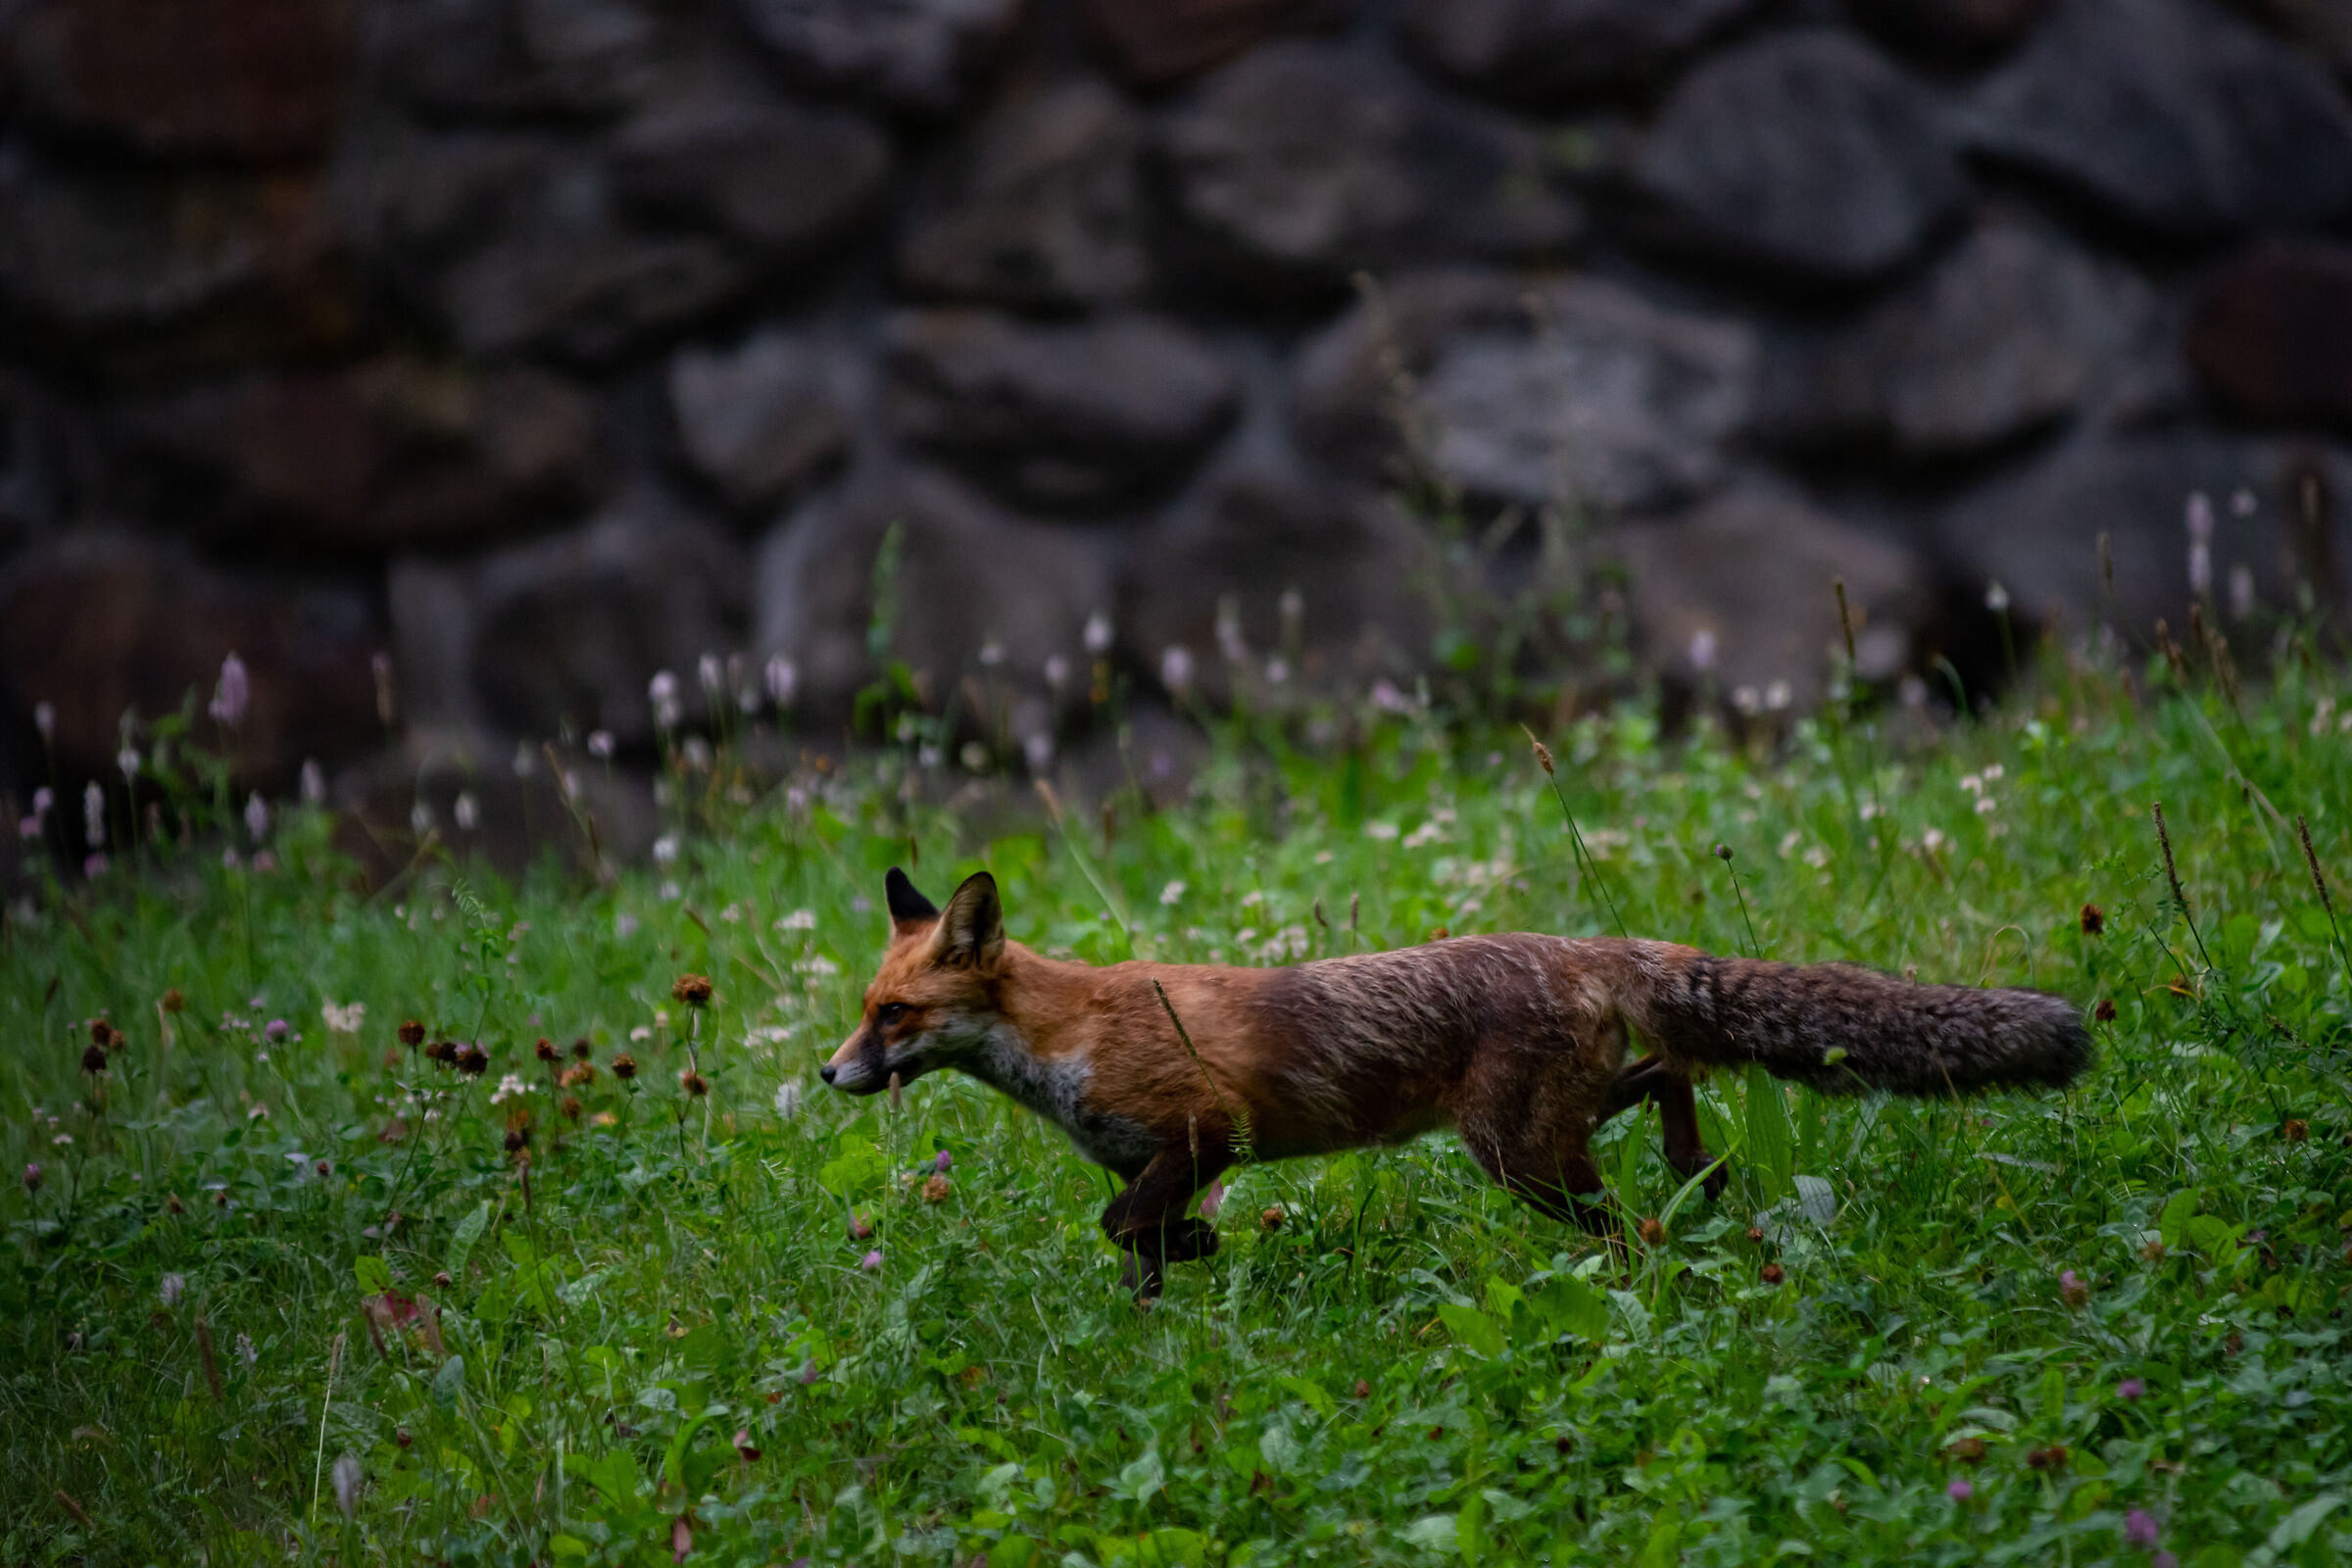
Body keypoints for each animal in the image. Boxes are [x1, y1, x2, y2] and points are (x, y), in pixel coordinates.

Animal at [825, 867, 2092, 1295]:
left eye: (895, 1015)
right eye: (864, 1006)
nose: (830, 1071)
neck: (1064, 1038)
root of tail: (1584, 944)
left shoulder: (1204, 1131)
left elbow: (1125, 1226)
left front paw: (1193, 1251)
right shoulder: (1163, 1162)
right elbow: (1134, 1248)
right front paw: (1169, 1308)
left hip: (1517, 1156)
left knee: (1631, 1222)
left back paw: (1657, 1269)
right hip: (1545, 1128)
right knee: (1670, 1072)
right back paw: (1701, 1166)